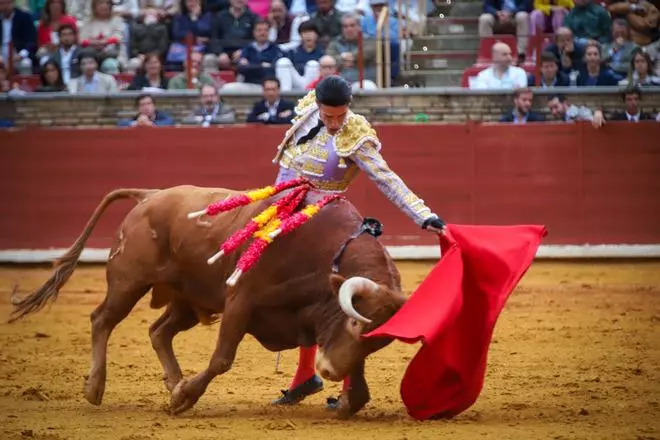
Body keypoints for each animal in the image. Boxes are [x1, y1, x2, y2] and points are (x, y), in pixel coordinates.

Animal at [10, 186, 408, 420]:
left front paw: (348, 399)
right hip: (127, 281)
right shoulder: (241, 300)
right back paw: (96, 387)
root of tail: (149, 196)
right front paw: (186, 396)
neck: (324, 251)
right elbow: (222, 359)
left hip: (187, 299)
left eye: (376, 340)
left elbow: (358, 379)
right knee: (101, 320)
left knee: (159, 331)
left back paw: (172, 383)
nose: (329, 372)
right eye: (355, 322)